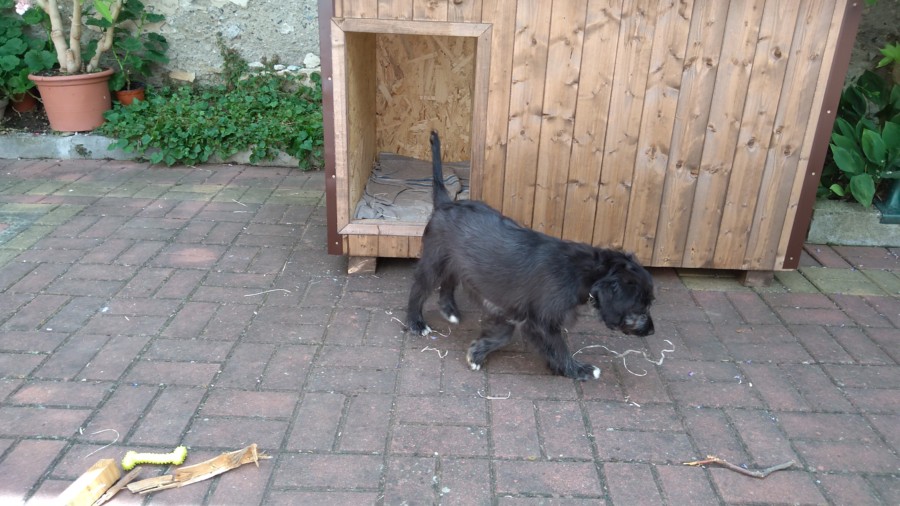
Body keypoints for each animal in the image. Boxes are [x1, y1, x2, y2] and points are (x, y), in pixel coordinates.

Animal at [406, 131, 655, 381]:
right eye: (640, 308)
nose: (652, 331)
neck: (582, 271)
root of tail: (445, 204)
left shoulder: (510, 309)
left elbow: (503, 333)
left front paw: (477, 351)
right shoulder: (541, 322)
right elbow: (557, 346)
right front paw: (577, 369)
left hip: (455, 262)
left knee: (448, 282)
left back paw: (449, 310)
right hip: (434, 261)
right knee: (419, 289)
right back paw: (416, 322)